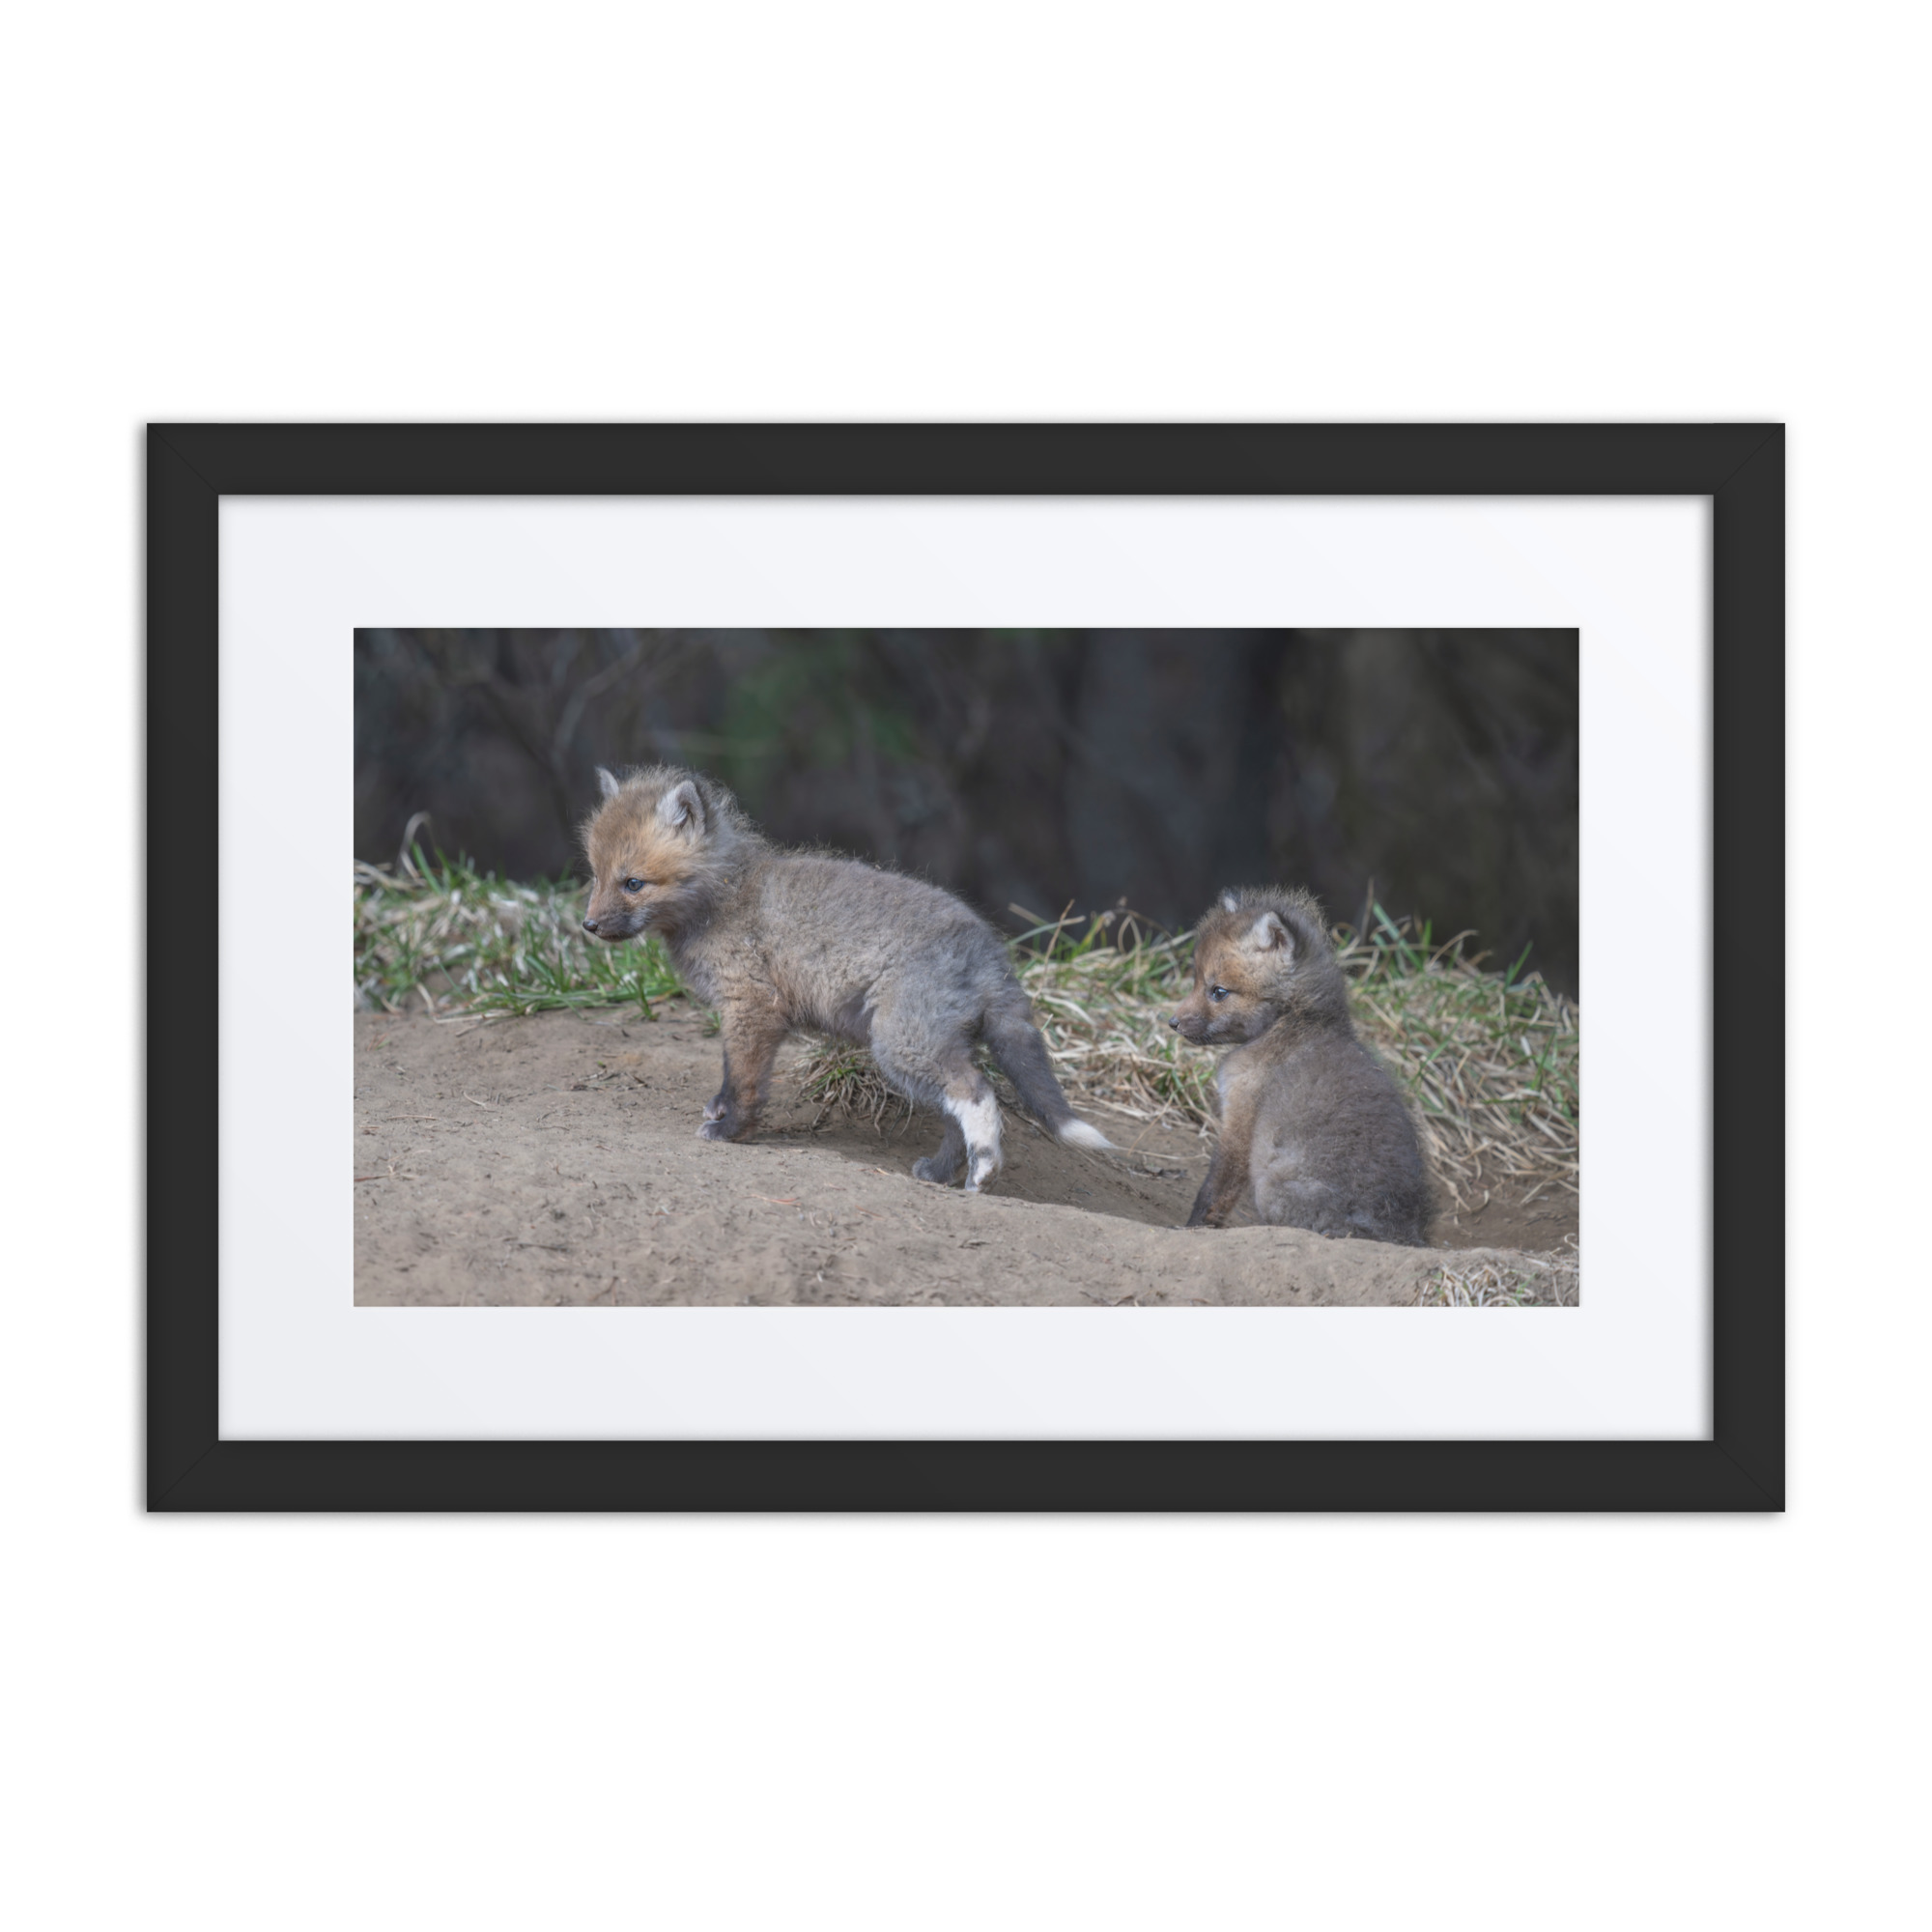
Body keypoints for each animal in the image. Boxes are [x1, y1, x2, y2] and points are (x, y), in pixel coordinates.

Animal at [579, 765, 1114, 1191]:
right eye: (596, 876)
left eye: (633, 883)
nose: (588, 926)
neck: (725, 897)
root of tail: (991, 950)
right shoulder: (746, 1013)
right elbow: (731, 1074)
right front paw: (721, 1111)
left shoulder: (753, 1006)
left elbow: (745, 1080)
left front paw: (732, 1131)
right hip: (926, 1050)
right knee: (954, 1114)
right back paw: (941, 1173)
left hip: (902, 1045)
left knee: (977, 1093)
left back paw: (984, 1171)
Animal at [1169, 887, 1429, 1245]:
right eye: (1196, 981)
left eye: (1218, 991)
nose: (1172, 1022)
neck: (1294, 1021)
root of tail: (1399, 1233)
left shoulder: (1240, 1119)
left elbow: (1214, 1190)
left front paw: (1192, 1228)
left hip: (1270, 1188)